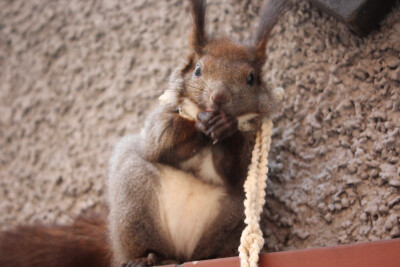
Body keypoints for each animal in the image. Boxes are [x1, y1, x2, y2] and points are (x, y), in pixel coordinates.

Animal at [0, 0, 288, 267]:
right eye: (197, 70)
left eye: (251, 78)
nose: (219, 98)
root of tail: (179, 253)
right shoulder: (162, 121)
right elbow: (161, 140)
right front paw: (199, 123)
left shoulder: (248, 146)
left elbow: (236, 170)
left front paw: (226, 128)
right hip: (135, 197)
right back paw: (145, 257)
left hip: (232, 216)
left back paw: (211, 256)